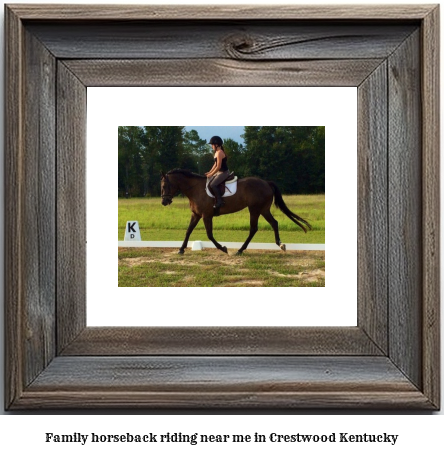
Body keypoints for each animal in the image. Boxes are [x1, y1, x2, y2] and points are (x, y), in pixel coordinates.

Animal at [160, 169, 312, 255]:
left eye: (164, 185)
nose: (164, 202)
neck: (195, 189)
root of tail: (266, 183)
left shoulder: (206, 215)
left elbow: (209, 234)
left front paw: (223, 248)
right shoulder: (196, 214)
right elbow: (188, 231)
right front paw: (181, 249)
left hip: (254, 209)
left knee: (253, 228)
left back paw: (240, 250)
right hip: (263, 209)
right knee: (274, 223)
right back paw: (280, 244)